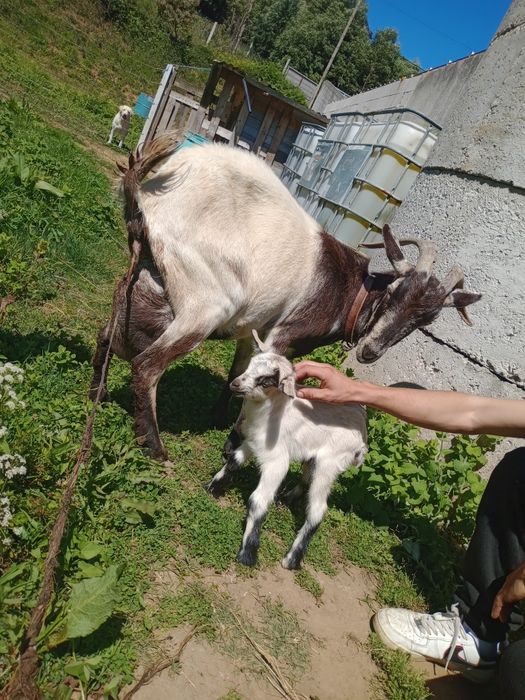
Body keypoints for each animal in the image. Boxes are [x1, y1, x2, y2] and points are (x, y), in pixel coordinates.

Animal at [90, 137, 481, 461]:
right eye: (394, 292)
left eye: (425, 320)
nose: (370, 352)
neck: (350, 289)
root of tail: (147, 199)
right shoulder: (284, 333)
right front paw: (233, 443)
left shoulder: (257, 328)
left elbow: (239, 372)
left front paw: (219, 417)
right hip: (205, 302)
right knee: (146, 365)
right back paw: (155, 447)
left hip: (145, 282)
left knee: (108, 336)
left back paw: (98, 395)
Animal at [207, 330, 367, 569]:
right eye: (251, 364)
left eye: (266, 380)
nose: (235, 384)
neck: (271, 412)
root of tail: (362, 438)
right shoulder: (253, 443)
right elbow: (233, 461)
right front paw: (212, 487)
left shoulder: (277, 461)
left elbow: (258, 500)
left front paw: (247, 554)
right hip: (314, 459)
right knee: (307, 478)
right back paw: (287, 498)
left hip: (329, 464)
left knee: (317, 510)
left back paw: (292, 559)